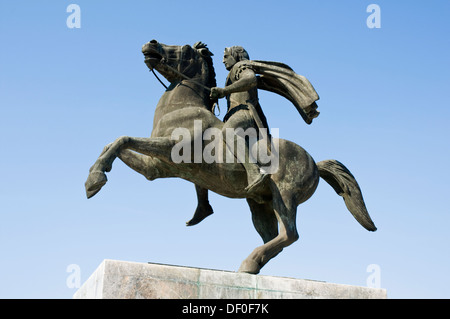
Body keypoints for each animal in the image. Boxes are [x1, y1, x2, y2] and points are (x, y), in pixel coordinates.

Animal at [84, 40, 376, 276]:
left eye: (185, 49)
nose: (151, 43)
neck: (182, 109)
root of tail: (315, 162)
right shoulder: (156, 168)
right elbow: (116, 143)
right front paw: (94, 178)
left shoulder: (170, 149)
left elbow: (123, 139)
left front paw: (94, 180)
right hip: (259, 204)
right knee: (274, 237)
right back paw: (250, 266)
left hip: (285, 195)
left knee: (289, 234)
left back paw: (248, 262)